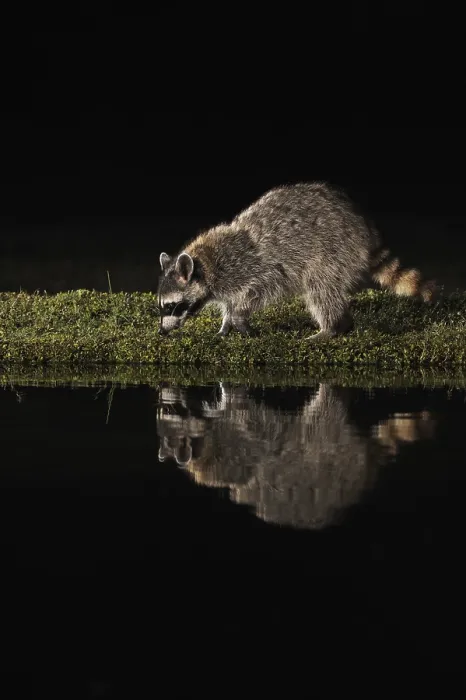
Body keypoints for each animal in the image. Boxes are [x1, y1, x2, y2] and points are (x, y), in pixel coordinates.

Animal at [158, 182, 437, 339]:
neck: (204, 264)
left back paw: (333, 327)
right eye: (162, 306)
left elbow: (259, 291)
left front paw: (238, 317)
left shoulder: (248, 268)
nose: (161, 331)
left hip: (335, 249)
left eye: (172, 306)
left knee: (320, 288)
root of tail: (363, 225)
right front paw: (226, 323)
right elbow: (230, 302)